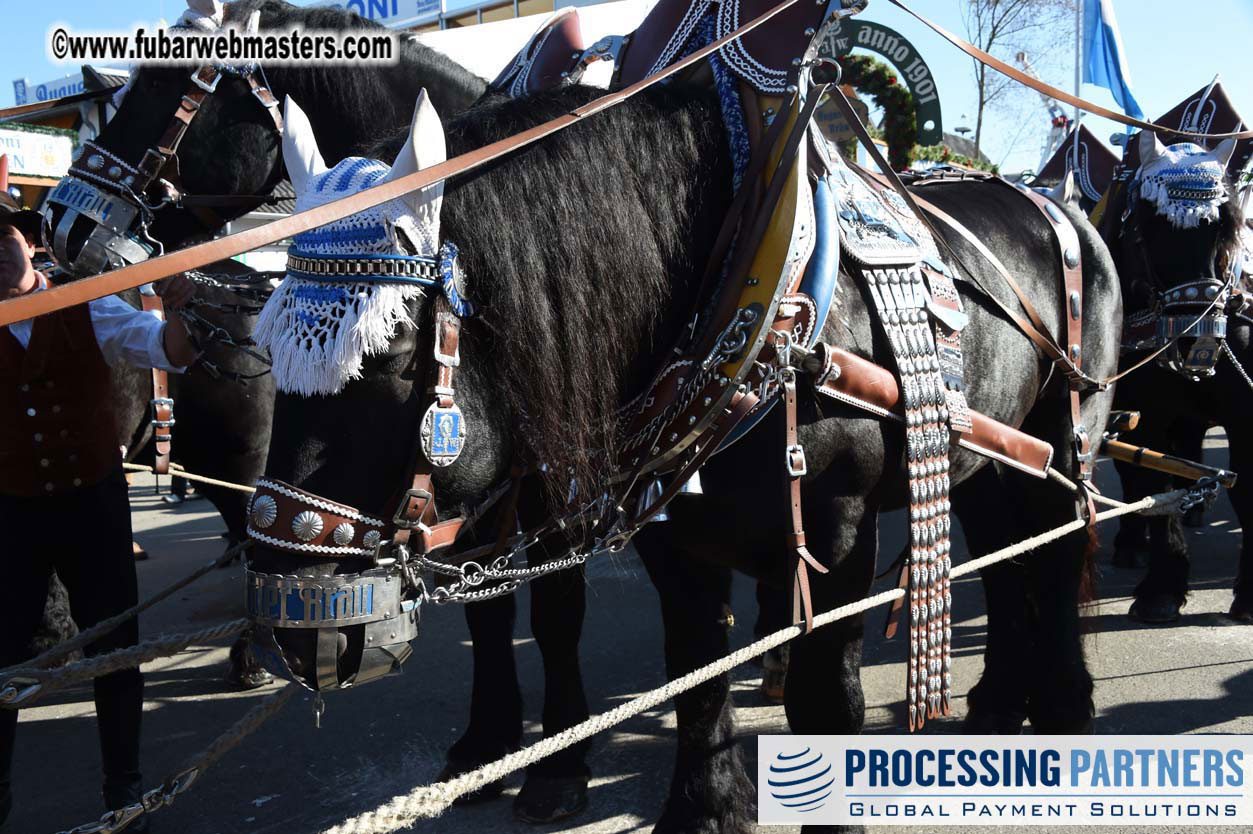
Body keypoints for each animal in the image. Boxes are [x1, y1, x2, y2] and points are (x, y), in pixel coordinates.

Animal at [249, 74, 1122, 826]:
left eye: (393, 353)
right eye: (267, 343)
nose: (294, 622)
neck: (750, 303)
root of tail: (1056, 205)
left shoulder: (836, 529)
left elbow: (824, 696)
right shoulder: (667, 530)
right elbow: (692, 667)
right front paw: (704, 808)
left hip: (1066, 434)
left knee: (1053, 547)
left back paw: (1063, 702)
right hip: (984, 454)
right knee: (1004, 553)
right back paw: (998, 700)